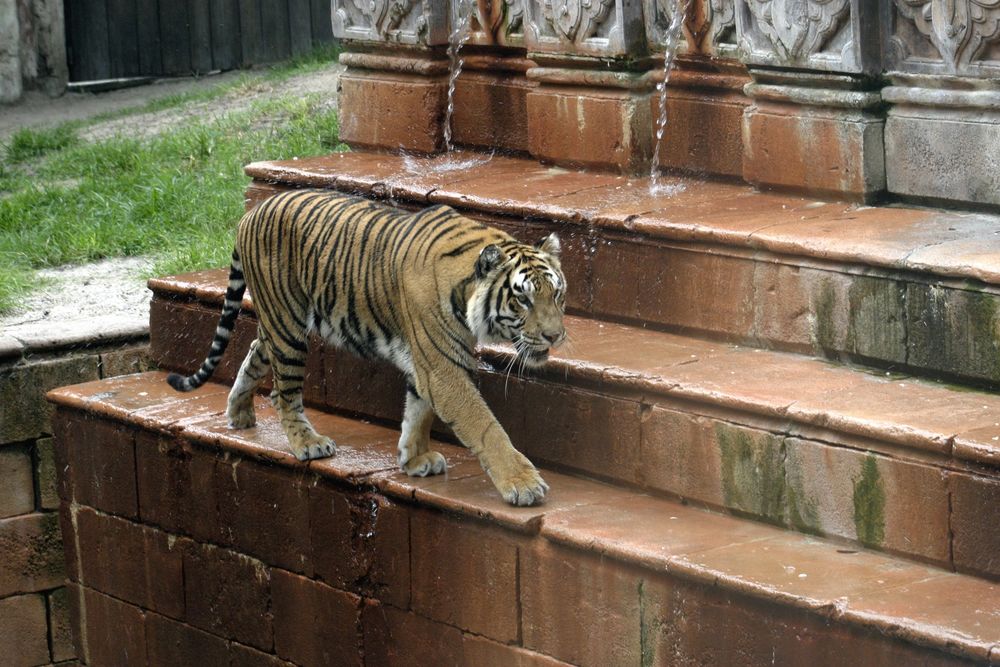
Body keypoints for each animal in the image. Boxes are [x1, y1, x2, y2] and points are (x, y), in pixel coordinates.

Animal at [167, 188, 566, 506]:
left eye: (557, 294)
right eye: (523, 300)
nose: (555, 336)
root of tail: (250, 212)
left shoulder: (426, 364)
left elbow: (417, 413)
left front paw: (413, 460)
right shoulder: (441, 368)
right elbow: (485, 426)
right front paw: (523, 484)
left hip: (278, 324)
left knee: (253, 349)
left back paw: (239, 412)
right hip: (288, 326)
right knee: (284, 393)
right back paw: (306, 443)